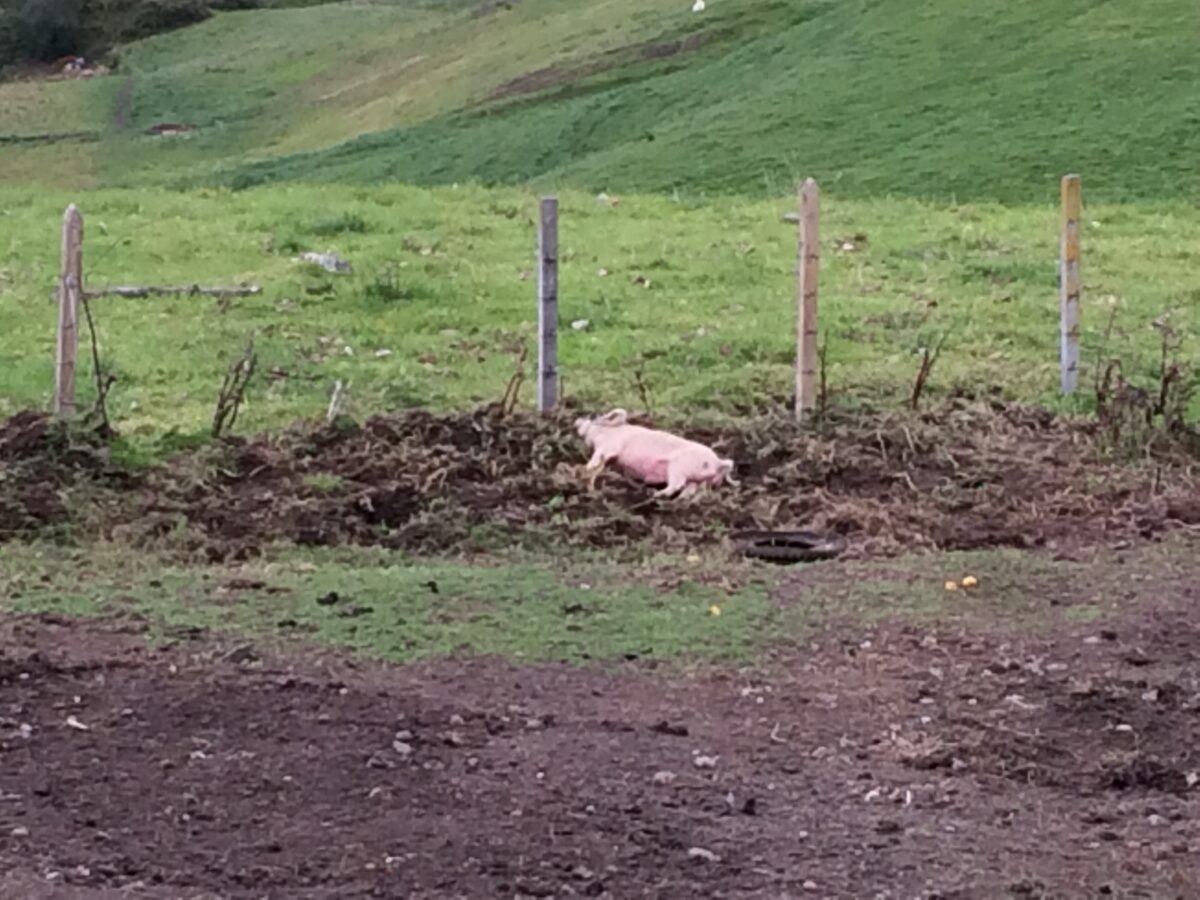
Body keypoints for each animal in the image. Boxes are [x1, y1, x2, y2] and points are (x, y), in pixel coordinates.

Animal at [573, 410, 734, 501]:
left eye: (590, 418)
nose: (576, 420)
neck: (602, 433)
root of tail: (717, 461)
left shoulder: (609, 446)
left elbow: (597, 457)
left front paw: (586, 468)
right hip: (697, 480)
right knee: (689, 490)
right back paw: (678, 500)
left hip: (678, 468)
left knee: (677, 485)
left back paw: (655, 494)